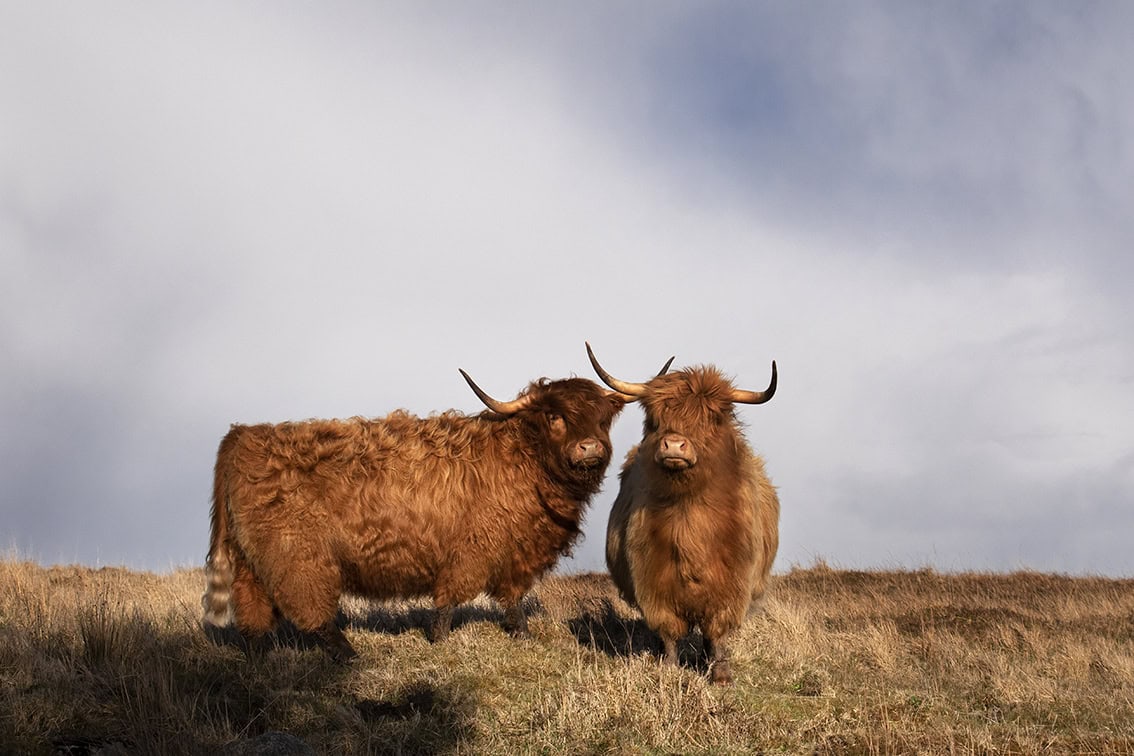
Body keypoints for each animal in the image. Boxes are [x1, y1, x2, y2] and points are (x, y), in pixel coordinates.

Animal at [202, 371, 630, 661]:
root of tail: (243, 435)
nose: (589, 447)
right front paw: (439, 639)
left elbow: (512, 598)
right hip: (297, 554)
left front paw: (521, 635)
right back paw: (348, 655)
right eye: (555, 417)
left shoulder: (517, 552)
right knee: (309, 610)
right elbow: (450, 598)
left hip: (253, 556)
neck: (524, 461)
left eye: (602, 418)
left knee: (252, 609)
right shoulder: (471, 548)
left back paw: (260, 657)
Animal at [585, 342, 780, 684]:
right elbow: (668, 630)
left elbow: (717, 630)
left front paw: (721, 674)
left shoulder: (732, 583)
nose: (675, 445)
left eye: (712, 417)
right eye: (655, 418)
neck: (689, 511)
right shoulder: (652, 579)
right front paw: (669, 669)